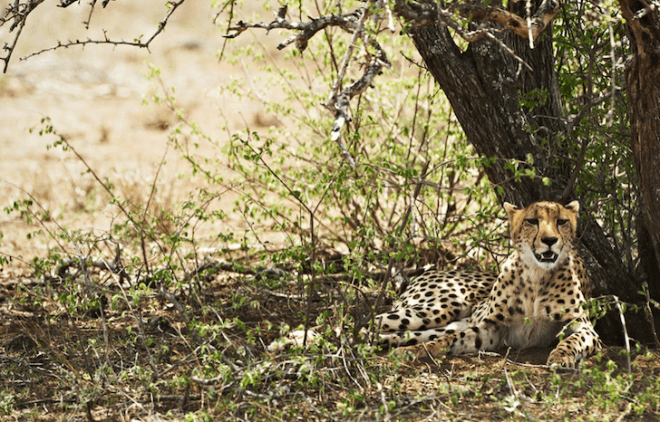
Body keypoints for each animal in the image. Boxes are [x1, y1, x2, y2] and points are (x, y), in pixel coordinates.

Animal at [376, 200, 602, 368]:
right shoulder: (492, 327)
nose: (549, 240)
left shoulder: (584, 327)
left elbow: (571, 340)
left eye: (562, 221)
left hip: (444, 321)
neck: (537, 275)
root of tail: (430, 271)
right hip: (438, 310)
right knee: (377, 320)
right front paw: (415, 351)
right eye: (532, 221)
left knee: (405, 333)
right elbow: (449, 340)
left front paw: (560, 356)